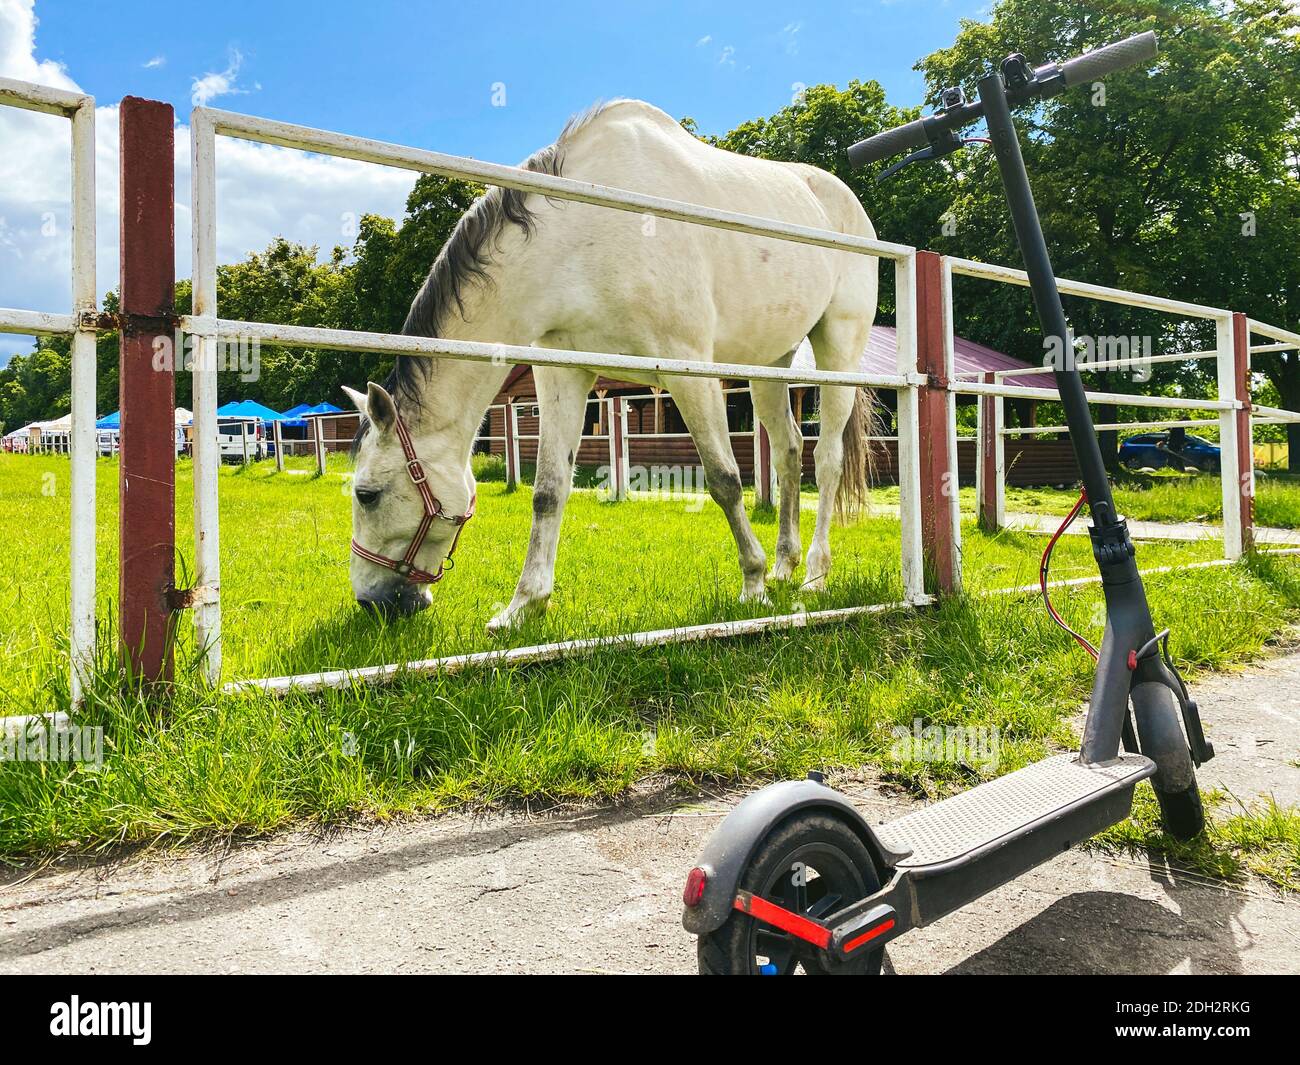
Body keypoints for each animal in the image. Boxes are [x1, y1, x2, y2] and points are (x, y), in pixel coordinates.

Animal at [345, 98, 878, 624]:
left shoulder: (689, 371)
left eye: (366, 494)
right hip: (768, 367)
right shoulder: (563, 373)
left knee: (825, 461)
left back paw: (814, 574)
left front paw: (753, 585)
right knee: (788, 451)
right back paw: (787, 565)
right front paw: (524, 604)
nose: (371, 602)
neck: (587, 231)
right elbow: (548, 489)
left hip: (838, 350)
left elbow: (725, 479)